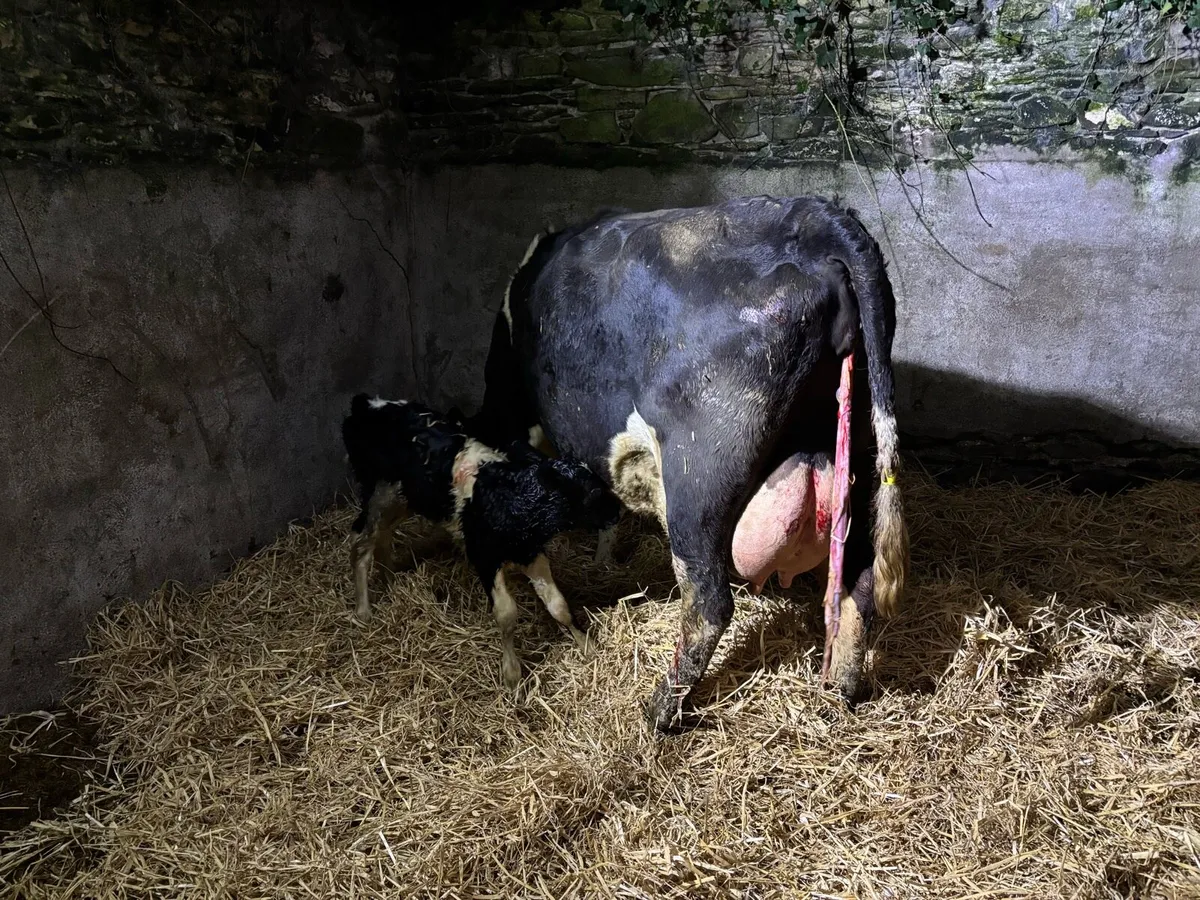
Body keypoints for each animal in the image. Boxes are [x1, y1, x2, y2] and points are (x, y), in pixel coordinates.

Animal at [341, 394, 623, 687]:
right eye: (591, 492)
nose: (618, 510)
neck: (505, 500)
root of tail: (365, 404)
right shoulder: (484, 558)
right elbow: (506, 614)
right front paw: (512, 677)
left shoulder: (530, 553)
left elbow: (559, 606)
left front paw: (587, 646)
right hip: (379, 491)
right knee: (361, 542)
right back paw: (363, 612)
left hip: (408, 497)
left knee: (382, 535)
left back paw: (388, 576)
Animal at [470, 195, 910, 732]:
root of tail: (815, 217)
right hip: (862, 455)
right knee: (860, 583)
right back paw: (841, 690)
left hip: (698, 475)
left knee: (708, 602)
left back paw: (659, 711)